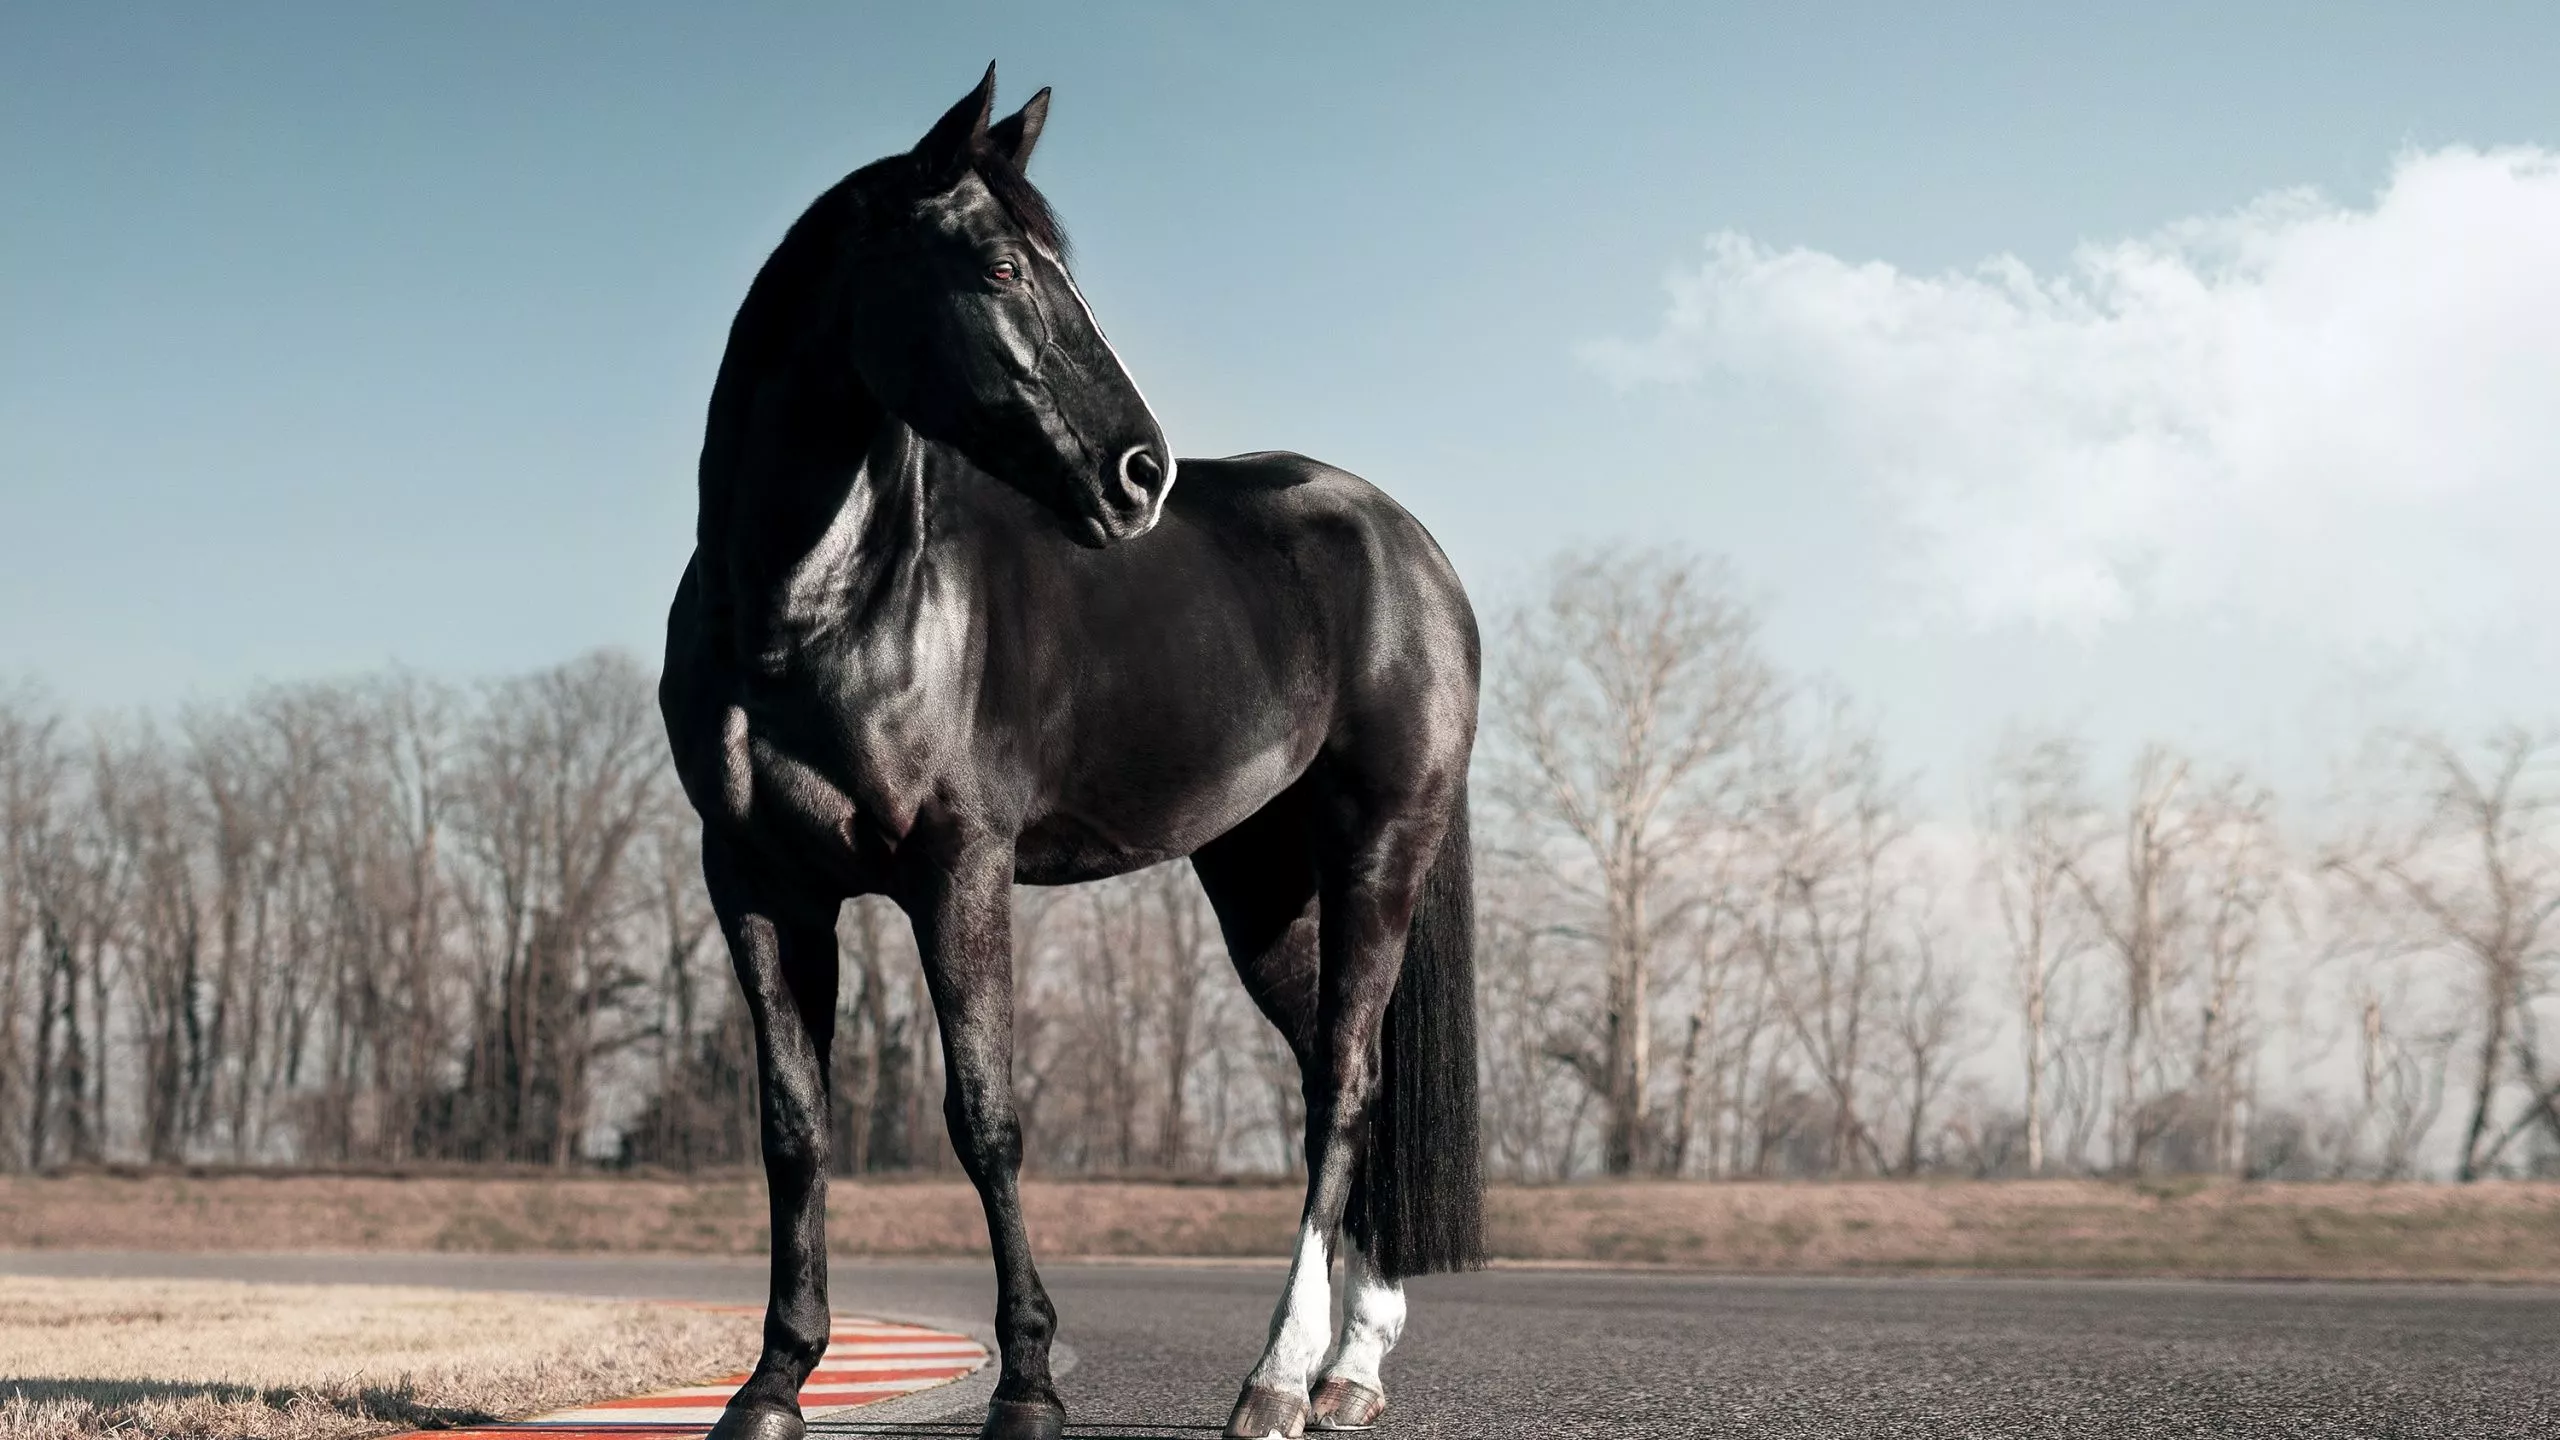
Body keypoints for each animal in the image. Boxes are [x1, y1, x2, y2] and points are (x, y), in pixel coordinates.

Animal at [659, 66, 1483, 1440]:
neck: (814, 605)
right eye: (997, 267)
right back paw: (1350, 1369)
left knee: (1343, 1089)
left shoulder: (960, 869)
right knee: (1341, 1075)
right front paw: (771, 1386)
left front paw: (1030, 1386)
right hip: (1261, 884)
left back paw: (1275, 1380)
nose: (1139, 473)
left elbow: (984, 1119)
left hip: (1380, 851)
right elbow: (793, 1129)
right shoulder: (758, 883)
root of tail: (1410, 545)